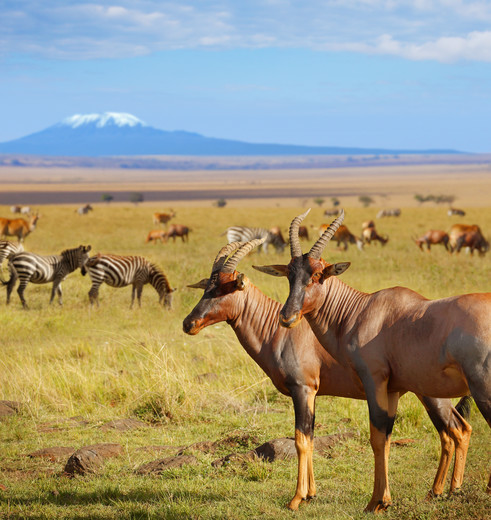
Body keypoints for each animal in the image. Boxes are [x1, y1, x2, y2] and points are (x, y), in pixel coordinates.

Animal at [184, 241, 472, 512]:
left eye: (227, 287)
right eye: (207, 287)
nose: (189, 323)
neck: (281, 331)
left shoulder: (303, 389)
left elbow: (301, 439)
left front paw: (296, 499)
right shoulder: (313, 393)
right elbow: (310, 437)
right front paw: (311, 494)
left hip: (431, 394)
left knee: (456, 429)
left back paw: (449, 491)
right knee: (453, 432)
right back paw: (437, 492)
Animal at [256, 209, 490, 512]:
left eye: (318, 274)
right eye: (289, 274)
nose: (287, 317)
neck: (363, 310)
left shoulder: (374, 381)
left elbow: (376, 436)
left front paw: (375, 501)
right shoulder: (392, 389)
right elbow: (386, 437)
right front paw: (383, 499)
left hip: (479, 390)